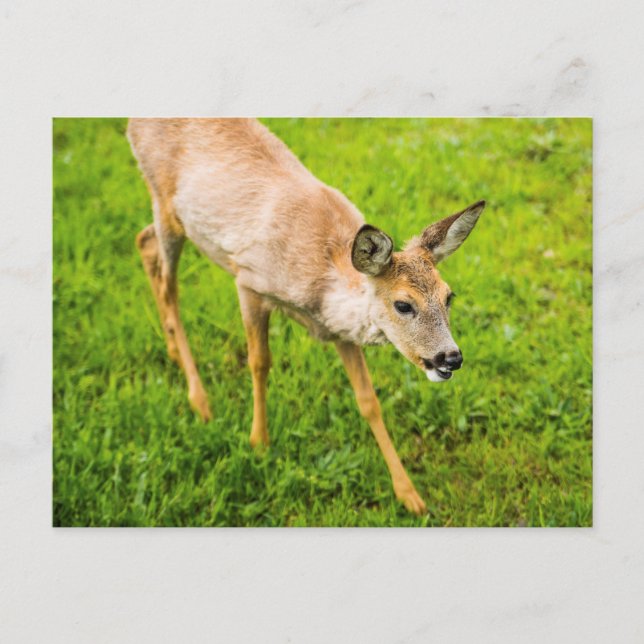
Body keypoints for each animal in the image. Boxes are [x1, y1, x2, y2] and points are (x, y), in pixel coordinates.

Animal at [127, 118, 485, 515]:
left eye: (449, 296)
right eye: (403, 305)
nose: (450, 357)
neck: (322, 286)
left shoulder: (340, 333)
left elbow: (368, 400)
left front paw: (410, 496)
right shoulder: (248, 280)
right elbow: (259, 362)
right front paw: (259, 443)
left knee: (144, 242)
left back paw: (175, 353)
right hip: (164, 201)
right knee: (167, 284)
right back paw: (200, 400)